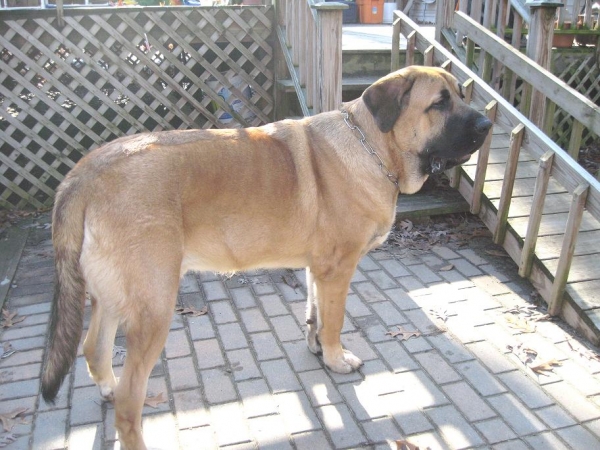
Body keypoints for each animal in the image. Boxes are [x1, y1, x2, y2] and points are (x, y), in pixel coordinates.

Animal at [41, 65, 492, 448]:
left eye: (461, 94)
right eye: (439, 103)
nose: (488, 125)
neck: (373, 146)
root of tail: (84, 173)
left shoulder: (318, 269)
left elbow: (314, 313)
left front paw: (316, 347)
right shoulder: (338, 269)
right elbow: (334, 322)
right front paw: (336, 359)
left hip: (112, 297)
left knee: (93, 349)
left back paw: (106, 385)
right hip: (153, 307)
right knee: (127, 404)